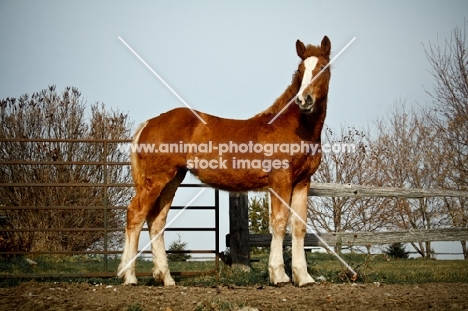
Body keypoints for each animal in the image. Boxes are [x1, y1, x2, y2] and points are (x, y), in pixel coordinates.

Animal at [120, 36, 332, 288]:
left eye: (323, 67)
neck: (292, 128)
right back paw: (130, 277)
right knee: (136, 214)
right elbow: (279, 223)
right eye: (300, 70)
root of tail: (149, 123)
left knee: (156, 221)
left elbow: (298, 226)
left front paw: (304, 277)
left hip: (172, 180)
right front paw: (279, 275)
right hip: (157, 179)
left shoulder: (302, 182)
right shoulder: (280, 180)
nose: (303, 100)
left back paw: (166, 278)